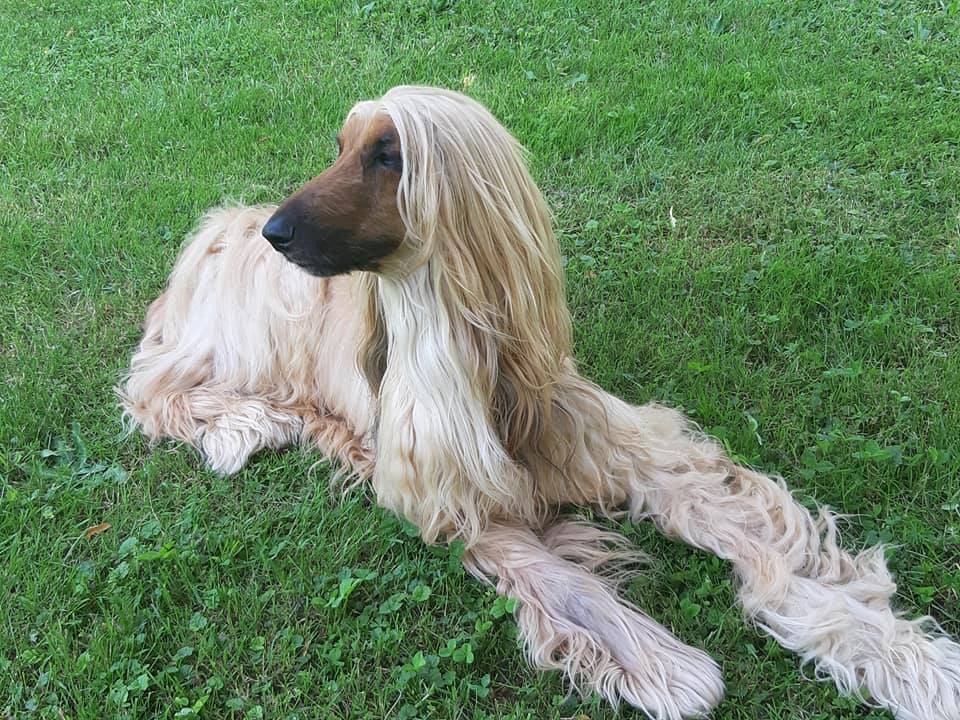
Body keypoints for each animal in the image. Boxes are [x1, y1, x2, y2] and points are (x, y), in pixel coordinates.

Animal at [119, 86, 960, 720]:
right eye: (340, 145)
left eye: (388, 155)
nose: (277, 233)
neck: (475, 361)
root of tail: (219, 224)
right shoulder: (458, 502)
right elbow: (561, 579)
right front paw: (664, 664)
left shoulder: (611, 444)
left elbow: (761, 549)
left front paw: (908, 660)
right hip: (226, 342)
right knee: (152, 389)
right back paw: (246, 424)